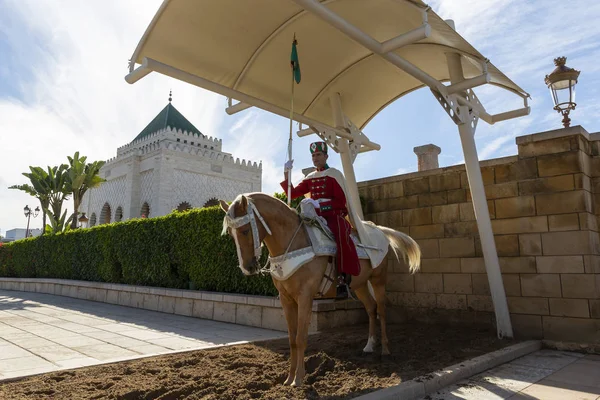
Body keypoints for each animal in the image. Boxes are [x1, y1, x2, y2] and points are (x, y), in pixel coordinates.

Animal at [218, 192, 420, 386]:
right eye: (231, 234)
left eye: (245, 230)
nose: (248, 268)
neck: (295, 242)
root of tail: (378, 230)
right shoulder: (286, 299)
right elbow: (292, 339)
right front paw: (288, 378)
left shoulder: (305, 297)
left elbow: (301, 338)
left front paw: (299, 379)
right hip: (360, 285)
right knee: (371, 308)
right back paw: (369, 346)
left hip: (378, 280)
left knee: (382, 311)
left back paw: (385, 350)